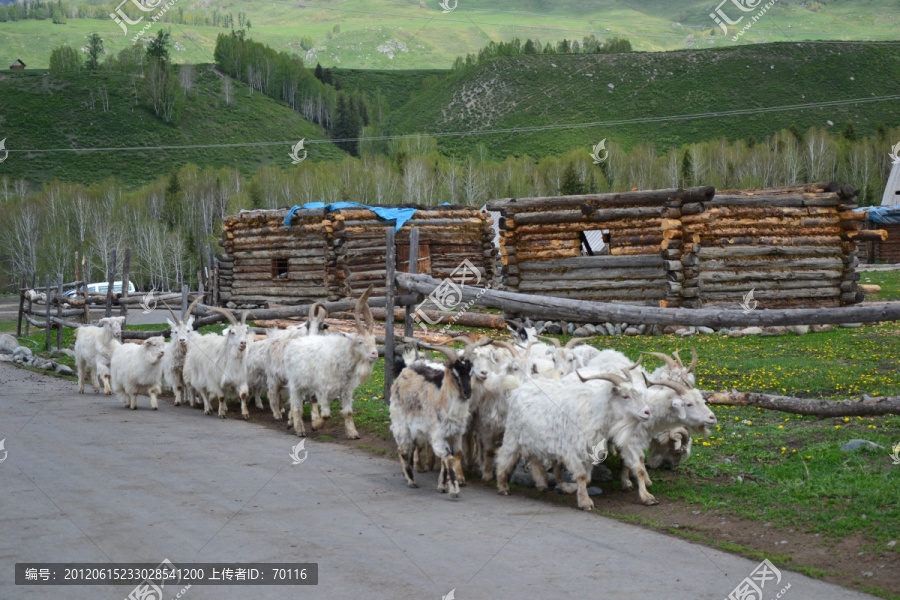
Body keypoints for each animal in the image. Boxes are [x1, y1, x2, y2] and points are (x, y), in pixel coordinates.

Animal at [284, 288, 376, 438]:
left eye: (374, 340)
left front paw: (353, 433)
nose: (375, 354)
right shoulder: (323, 390)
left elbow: (348, 412)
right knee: (296, 405)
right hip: (295, 383)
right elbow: (326, 415)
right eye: (360, 342)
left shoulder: (346, 391)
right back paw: (299, 429)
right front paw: (316, 425)